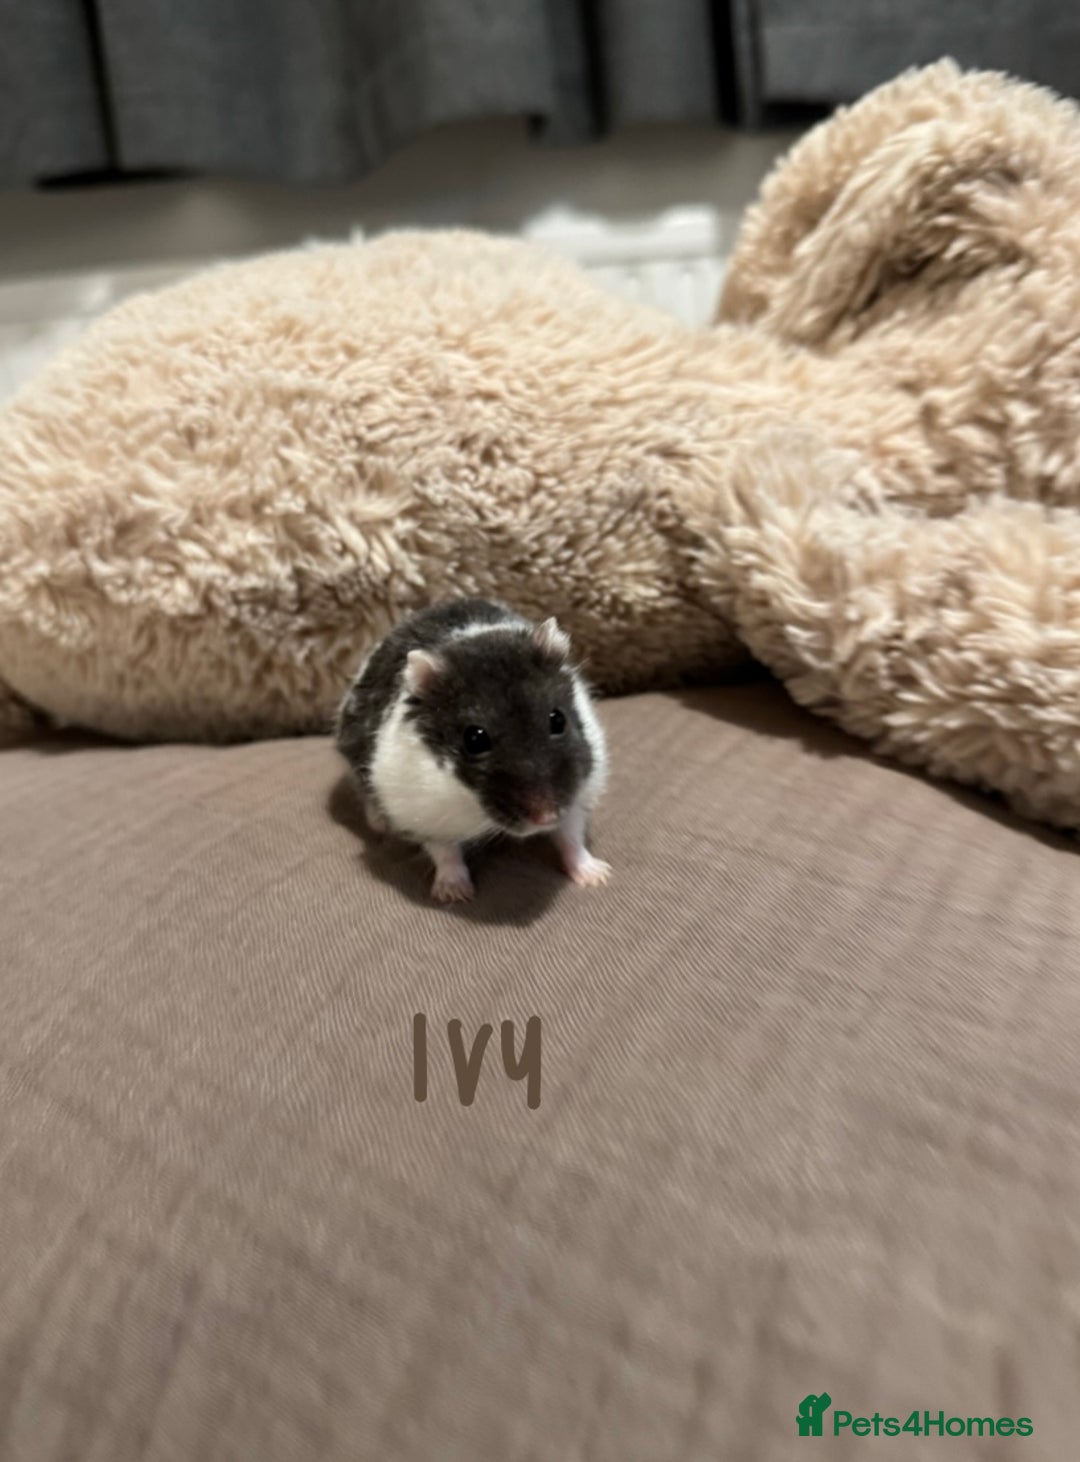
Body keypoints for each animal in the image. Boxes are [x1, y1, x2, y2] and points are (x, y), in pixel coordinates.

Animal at [335, 597, 610, 902]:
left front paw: (598, 876)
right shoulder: (424, 813)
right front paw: (455, 894)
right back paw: (380, 825)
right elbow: (445, 853)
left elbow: (570, 837)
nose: (546, 817)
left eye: (558, 719)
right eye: (474, 739)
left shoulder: (577, 796)